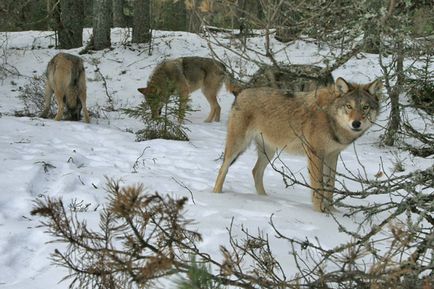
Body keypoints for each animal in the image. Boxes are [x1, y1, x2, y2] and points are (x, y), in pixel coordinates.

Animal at [212, 76, 382, 212]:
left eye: (365, 107)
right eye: (349, 106)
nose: (356, 123)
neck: (329, 117)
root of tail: (242, 90)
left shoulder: (332, 155)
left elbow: (330, 185)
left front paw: (333, 211)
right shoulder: (316, 154)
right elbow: (318, 186)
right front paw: (320, 212)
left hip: (269, 152)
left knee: (255, 171)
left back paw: (265, 199)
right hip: (238, 146)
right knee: (223, 169)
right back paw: (217, 196)